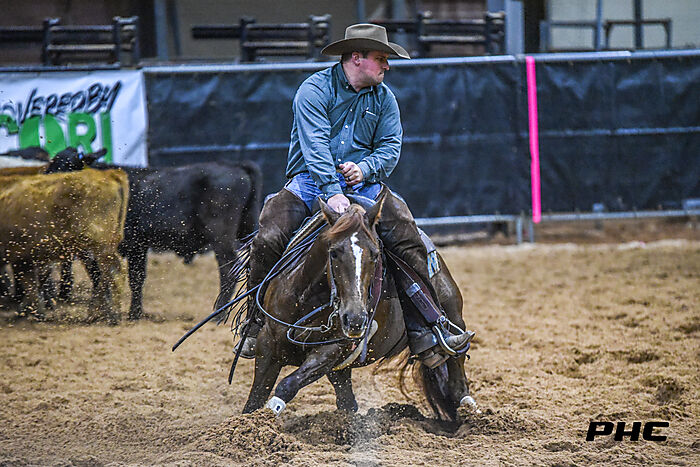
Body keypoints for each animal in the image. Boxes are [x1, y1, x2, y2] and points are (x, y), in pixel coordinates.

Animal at [0, 168, 129, 323]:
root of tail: (108, 174)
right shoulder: (24, 257)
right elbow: (32, 284)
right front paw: (31, 311)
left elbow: (30, 285)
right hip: (103, 247)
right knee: (105, 276)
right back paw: (95, 312)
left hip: (100, 245)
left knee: (115, 273)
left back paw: (113, 315)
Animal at [44, 148, 262, 320]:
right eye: (51, 164)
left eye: (68, 165)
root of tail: (235, 165)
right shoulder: (135, 246)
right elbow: (113, 276)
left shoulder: (134, 245)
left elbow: (132, 278)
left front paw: (131, 313)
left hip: (221, 237)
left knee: (229, 268)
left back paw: (218, 314)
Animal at [241, 187, 476, 421]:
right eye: (334, 252)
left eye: (375, 254)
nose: (355, 319)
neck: (307, 301)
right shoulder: (267, 342)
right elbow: (255, 398)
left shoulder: (332, 349)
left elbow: (287, 385)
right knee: (347, 401)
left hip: (453, 315)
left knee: (457, 377)